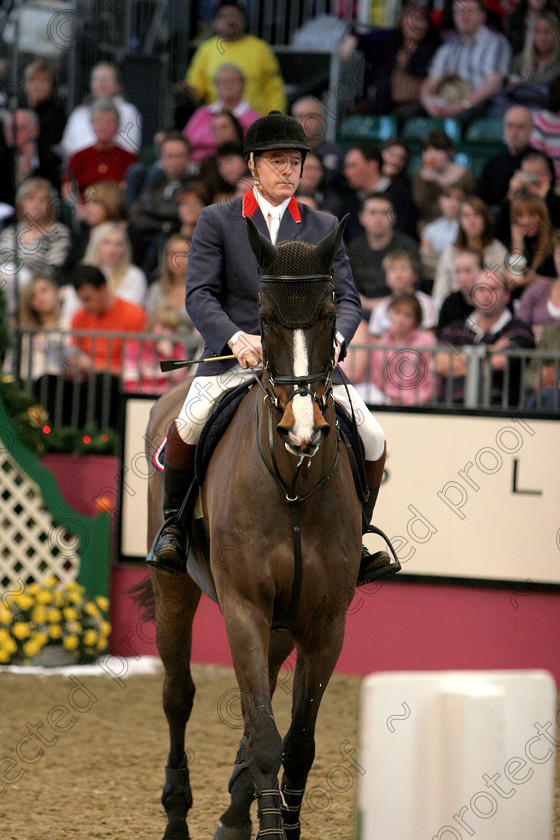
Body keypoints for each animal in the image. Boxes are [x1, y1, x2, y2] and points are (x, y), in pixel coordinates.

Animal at [144, 218, 360, 840]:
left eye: (330, 314)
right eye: (263, 319)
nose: (302, 430)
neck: (292, 486)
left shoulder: (325, 623)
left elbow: (298, 743)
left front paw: (275, 821)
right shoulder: (242, 608)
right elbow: (265, 738)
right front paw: (265, 825)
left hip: (281, 623)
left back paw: (235, 812)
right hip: (176, 590)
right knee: (178, 694)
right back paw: (178, 815)